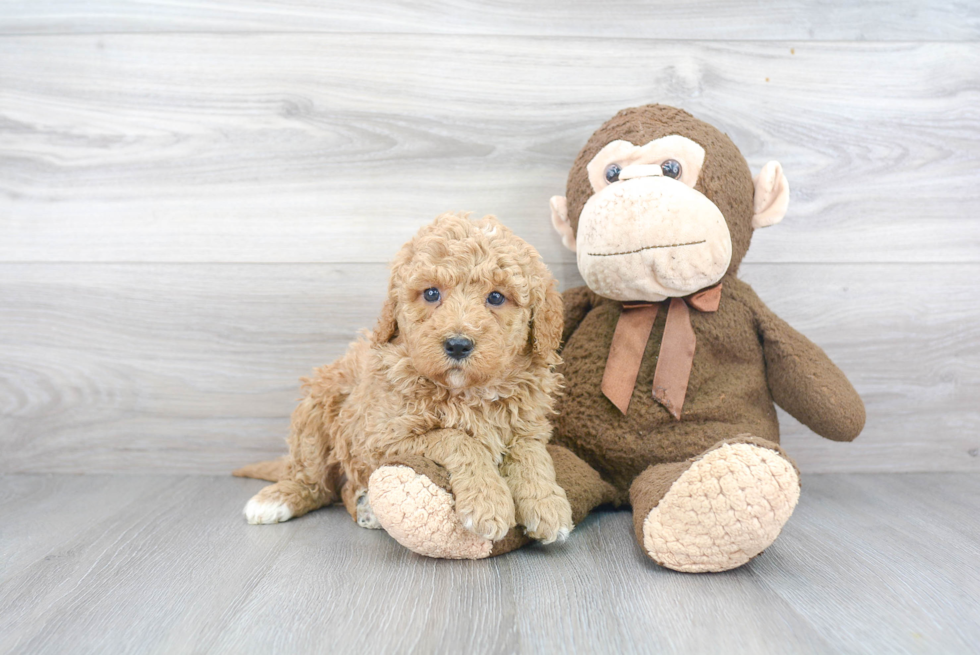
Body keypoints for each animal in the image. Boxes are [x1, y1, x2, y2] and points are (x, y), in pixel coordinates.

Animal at [235, 213, 576, 544]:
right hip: (317, 411)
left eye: (496, 297)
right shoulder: (381, 437)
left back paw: (367, 507)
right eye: (431, 293)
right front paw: (487, 502)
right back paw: (279, 498)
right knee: (315, 480)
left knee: (342, 488)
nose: (458, 344)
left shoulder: (528, 425)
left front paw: (546, 504)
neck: (468, 393)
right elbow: (457, 438)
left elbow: (532, 455)